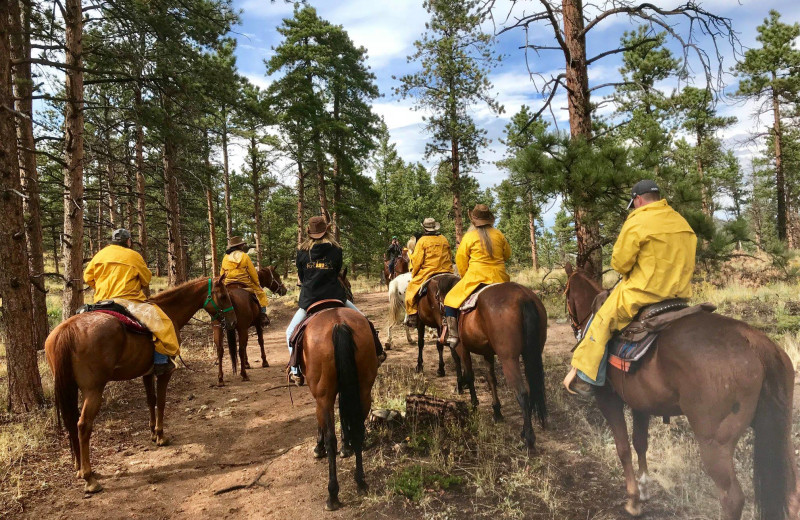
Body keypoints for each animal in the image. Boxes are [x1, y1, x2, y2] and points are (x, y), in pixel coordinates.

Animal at [46, 274, 238, 494]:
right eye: (223, 296)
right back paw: (89, 477)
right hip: (93, 390)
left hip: (71, 388)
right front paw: (161, 436)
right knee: (83, 425)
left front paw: (153, 433)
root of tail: (68, 330)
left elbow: (150, 400)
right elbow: (161, 401)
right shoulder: (165, 373)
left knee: (71, 422)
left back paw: (79, 469)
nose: (233, 322)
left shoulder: (147, 373)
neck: (169, 310)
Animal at [300, 306, 378, 510]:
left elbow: (321, 423)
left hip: (324, 395)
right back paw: (360, 481)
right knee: (358, 430)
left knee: (330, 439)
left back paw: (332, 494)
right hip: (364, 389)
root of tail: (339, 324)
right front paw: (346, 446)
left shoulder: (319, 397)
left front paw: (318, 448)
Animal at [450, 280, 552, 450]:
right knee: (531, 388)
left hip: (509, 359)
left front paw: (474, 404)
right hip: (532, 353)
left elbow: (470, 375)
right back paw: (524, 431)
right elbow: (491, 379)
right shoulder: (488, 353)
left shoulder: (462, 348)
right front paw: (497, 411)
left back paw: (529, 438)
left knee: (522, 392)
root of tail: (523, 297)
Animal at [564, 264, 800, 520]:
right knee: (791, 494)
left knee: (732, 499)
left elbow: (623, 448)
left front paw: (633, 501)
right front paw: (644, 489)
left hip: (714, 443)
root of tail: (755, 342)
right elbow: (640, 443)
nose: (574, 327)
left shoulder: (608, 398)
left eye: (566, 293)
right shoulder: (641, 404)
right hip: (779, 429)